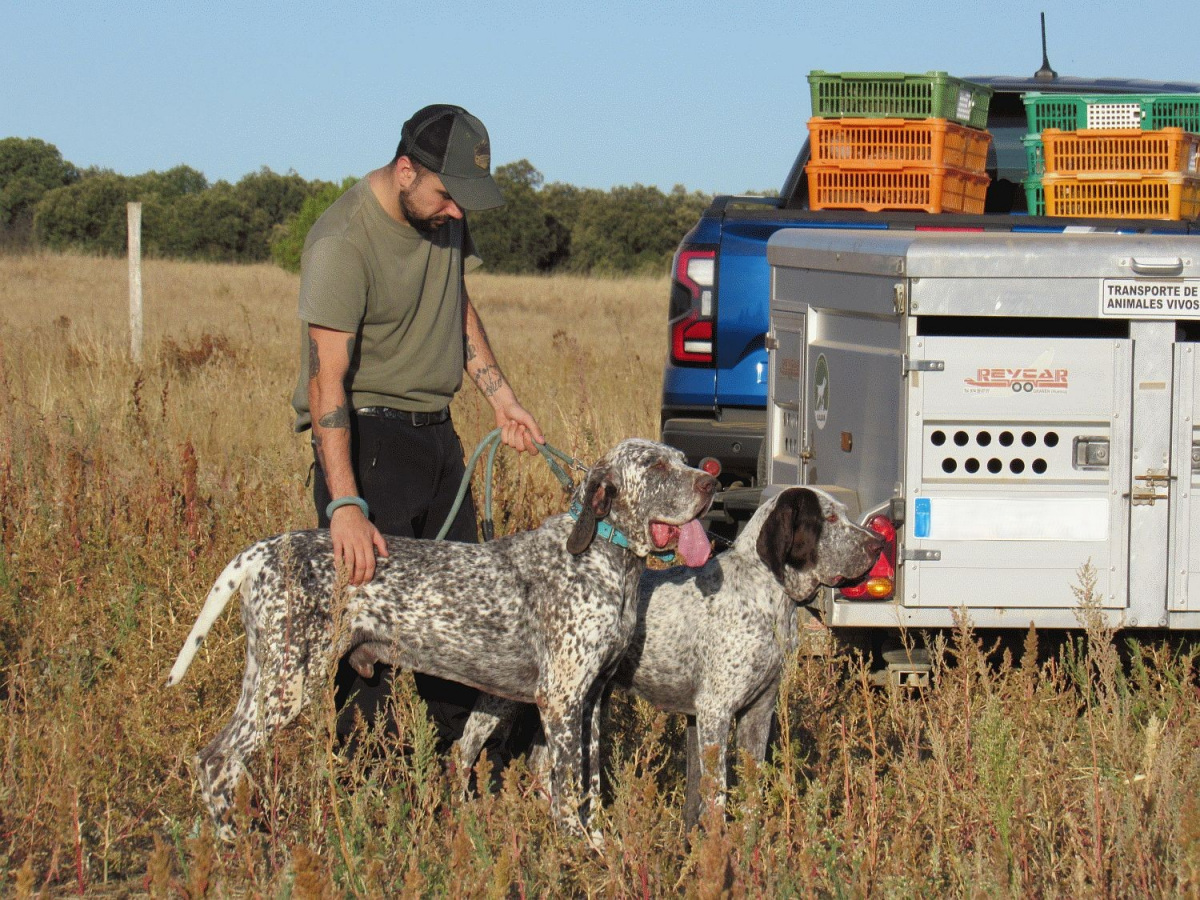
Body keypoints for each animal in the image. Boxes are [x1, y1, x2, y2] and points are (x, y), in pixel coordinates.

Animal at [166, 438, 718, 838]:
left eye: (682, 460)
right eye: (655, 466)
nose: (711, 482)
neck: (606, 557)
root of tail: (263, 551)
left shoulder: (593, 698)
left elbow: (590, 784)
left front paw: (599, 843)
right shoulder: (562, 700)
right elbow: (567, 789)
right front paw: (575, 849)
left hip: (267, 678)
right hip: (287, 684)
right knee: (216, 761)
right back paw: (237, 848)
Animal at [455, 487, 882, 827]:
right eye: (828, 517)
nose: (877, 543)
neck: (765, 594)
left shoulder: (757, 711)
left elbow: (744, 795)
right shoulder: (715, 711)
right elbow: (716, 795)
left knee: (541, 764)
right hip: (512, 697)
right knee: (465, 750)